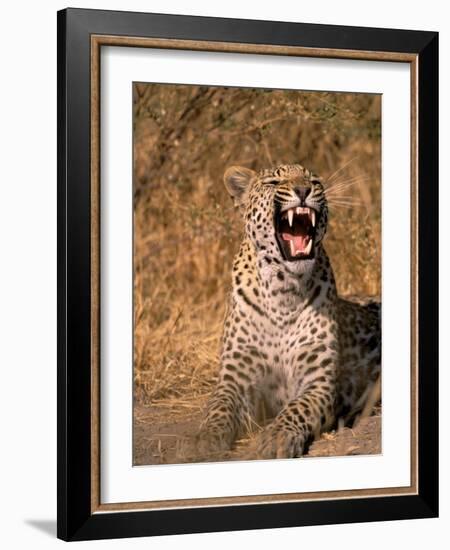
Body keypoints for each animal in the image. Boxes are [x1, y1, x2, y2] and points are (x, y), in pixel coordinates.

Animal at [184, 163, 380, 462]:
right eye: (273, 182)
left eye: (315, 181)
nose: (303, 189)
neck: (283, 290)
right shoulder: (234, 378)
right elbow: (219, 407)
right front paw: (205, 440)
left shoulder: (318, 381)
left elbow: (297, 408)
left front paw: (276, 437)